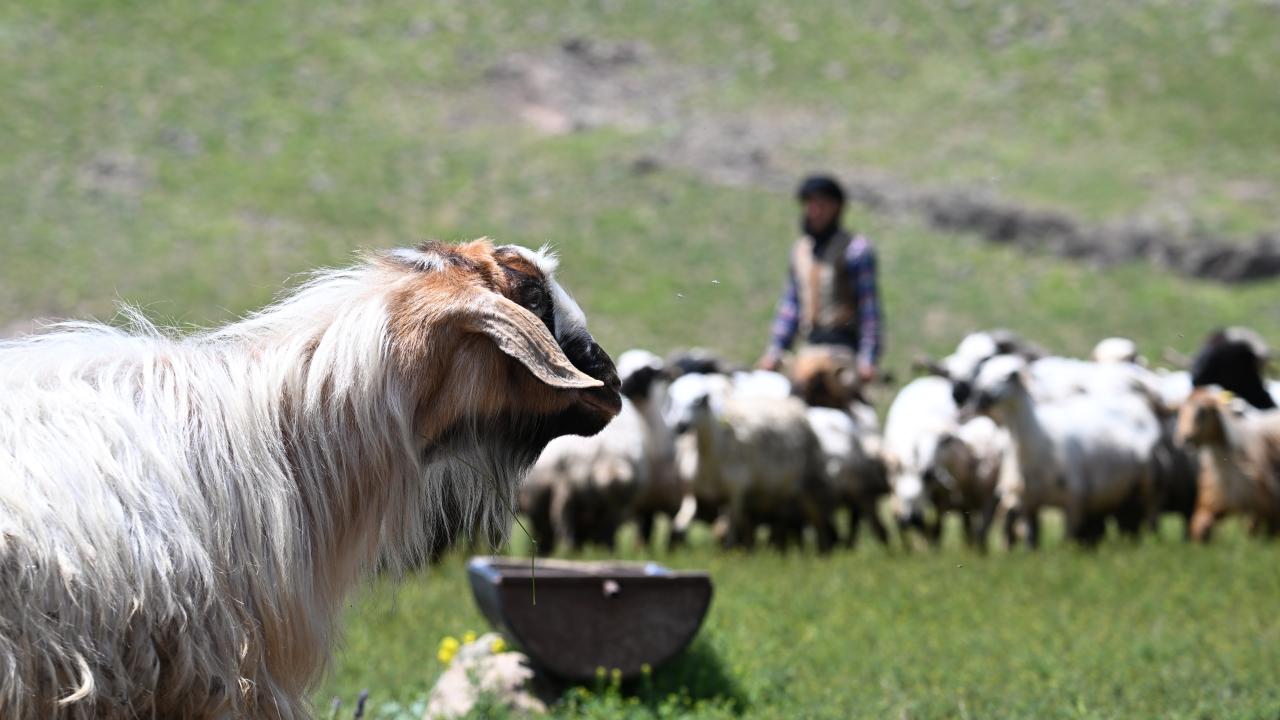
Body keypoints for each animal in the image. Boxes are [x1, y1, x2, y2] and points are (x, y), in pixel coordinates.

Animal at [969, 355, 1161, 547]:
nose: (981, 398)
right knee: (1128, 520)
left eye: (1011, 375)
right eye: (982, 375)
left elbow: (1067, 541)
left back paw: (1149, 542)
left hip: (1148, 483)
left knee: (1149, 517)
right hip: (1123, 491)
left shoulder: (1074, 499)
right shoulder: (1027, 501)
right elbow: (1031, 541)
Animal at [1175, 390, 1280, 541]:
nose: (1184, 439)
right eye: (1180, 411)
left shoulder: (1263, 512)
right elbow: (1199, 530)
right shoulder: (1208, 507)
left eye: (1202, 412)